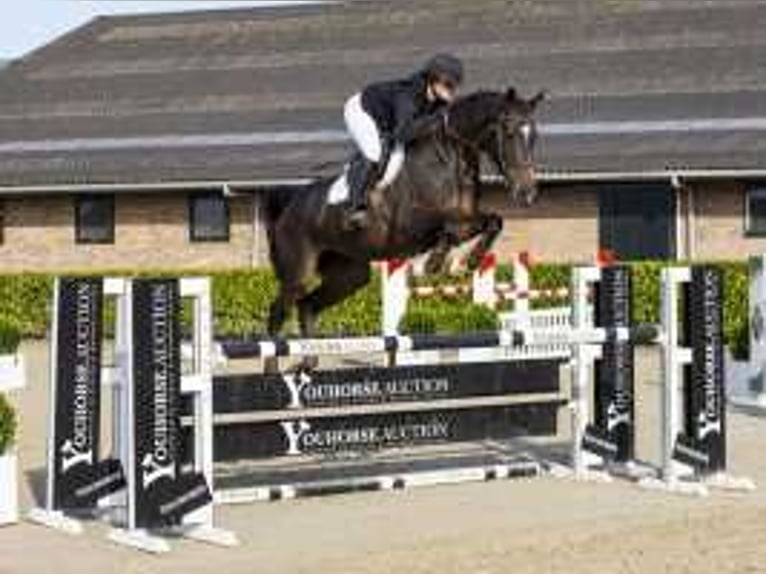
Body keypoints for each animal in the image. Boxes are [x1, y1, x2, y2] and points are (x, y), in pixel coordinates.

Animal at [264, 86, 544, 338]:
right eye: (509, 132)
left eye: (534, 136)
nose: (527, 193)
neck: (448, 159)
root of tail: (289, 206)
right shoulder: (412, 227)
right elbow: (449, 228)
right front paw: (436, 262)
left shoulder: (466, 218)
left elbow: (493, 221)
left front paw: (469, 260)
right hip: (298, 272)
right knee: (279, 311)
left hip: (349, 275)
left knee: (308, 307)